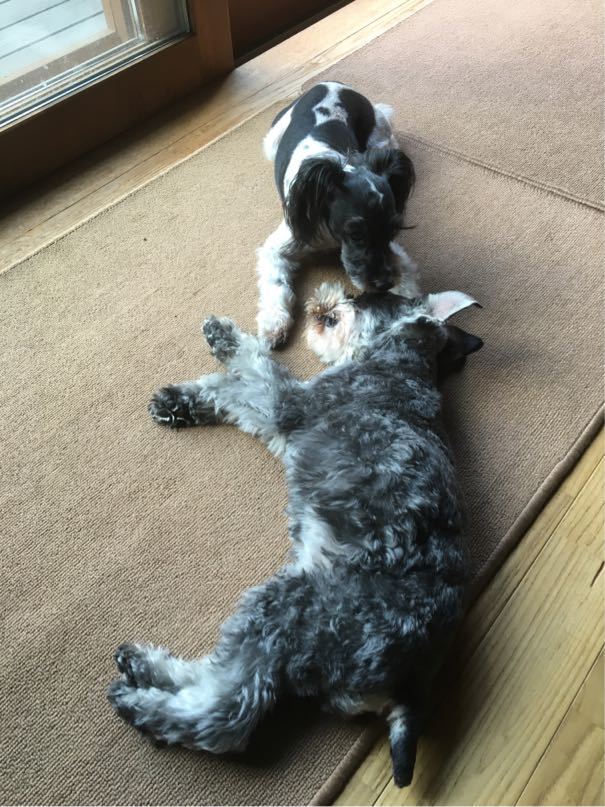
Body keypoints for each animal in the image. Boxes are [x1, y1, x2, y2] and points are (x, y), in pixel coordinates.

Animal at [108, 286, 482, 788]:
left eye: (373, 295)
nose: (334, 297)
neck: (401, 359)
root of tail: (410, 685)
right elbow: (238, 389)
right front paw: (178, 401)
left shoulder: (290, 405)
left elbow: (251, 375)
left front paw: (222, 339)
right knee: (221, 683)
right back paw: (143, 670)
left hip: (282, 609)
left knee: (226, 710)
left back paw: (139, 696)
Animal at [257, 81, 417, 348]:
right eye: (356, 234)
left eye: (392, 231)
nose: (384, 283)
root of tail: (330, 84)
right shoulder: (279, 245)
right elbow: (275, 282)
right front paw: (273, 323)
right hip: (271, 141)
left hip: (379, 137)